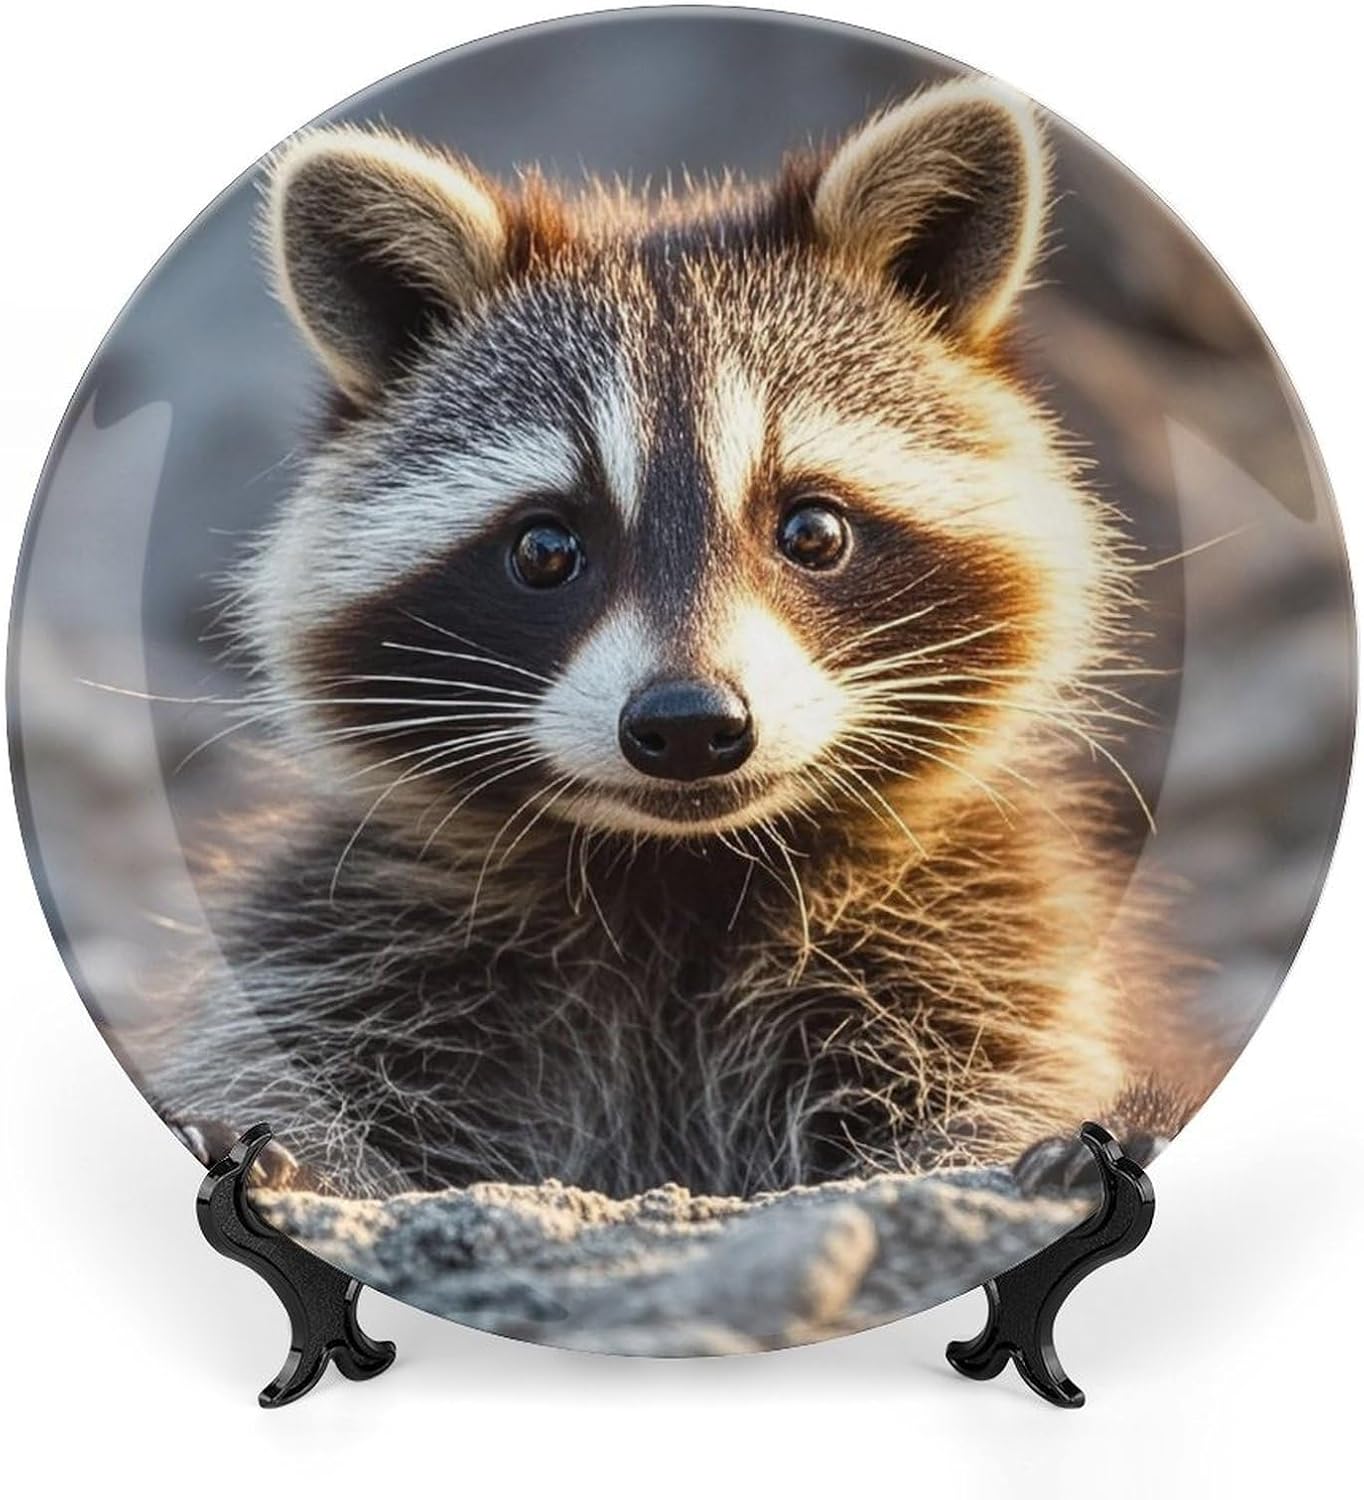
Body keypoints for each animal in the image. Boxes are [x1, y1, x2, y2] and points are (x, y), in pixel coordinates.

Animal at [159, 80, 1192, 1200]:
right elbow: (274, 1074)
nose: (690, 723)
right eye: (545, 549)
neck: (679, 874)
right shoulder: (338, 937)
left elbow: (1012, 1092)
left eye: (812, 531)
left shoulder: (993, 937)